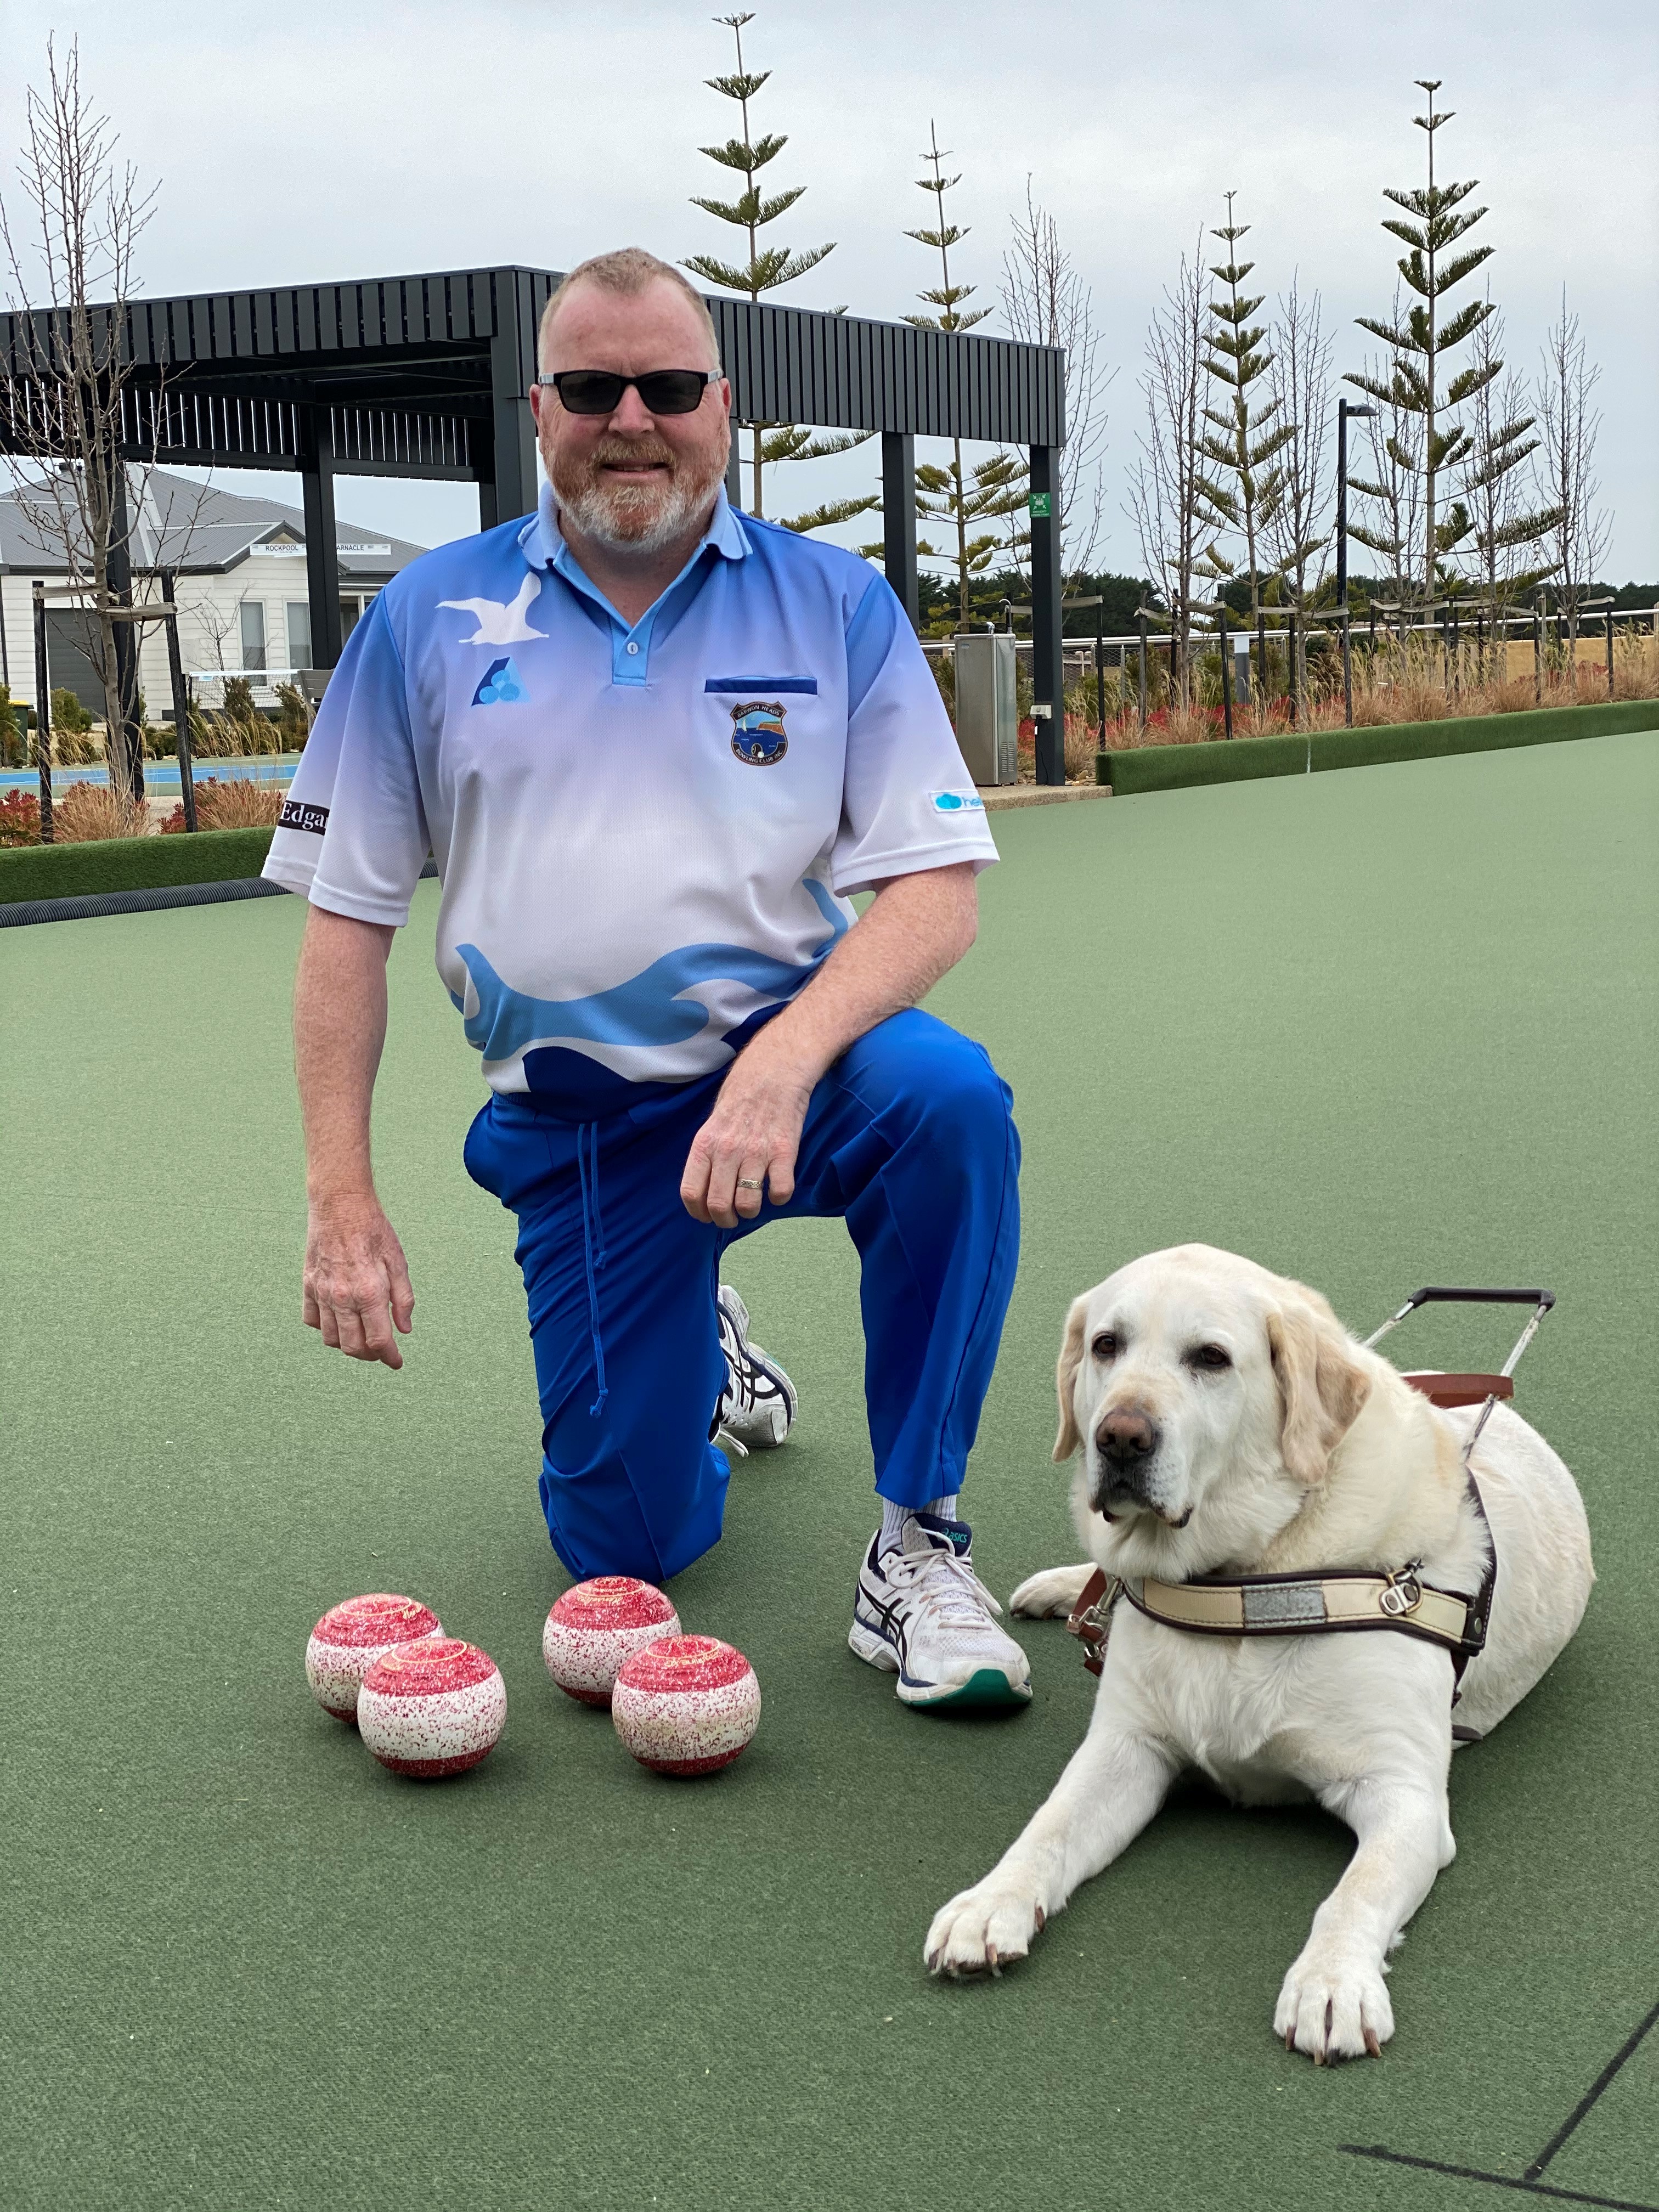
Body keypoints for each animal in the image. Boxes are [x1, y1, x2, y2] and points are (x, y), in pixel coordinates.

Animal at [929, 1248, 1593, 2052]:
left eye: (1211, 1358)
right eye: (1107, 1345)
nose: (1119, 1437)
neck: (1248, 1575)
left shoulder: (1402, 1792)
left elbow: (1352, 1895)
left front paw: (1332, 1982)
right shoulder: (1127, 1748)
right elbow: (1046, 1831)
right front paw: (988, 1903)